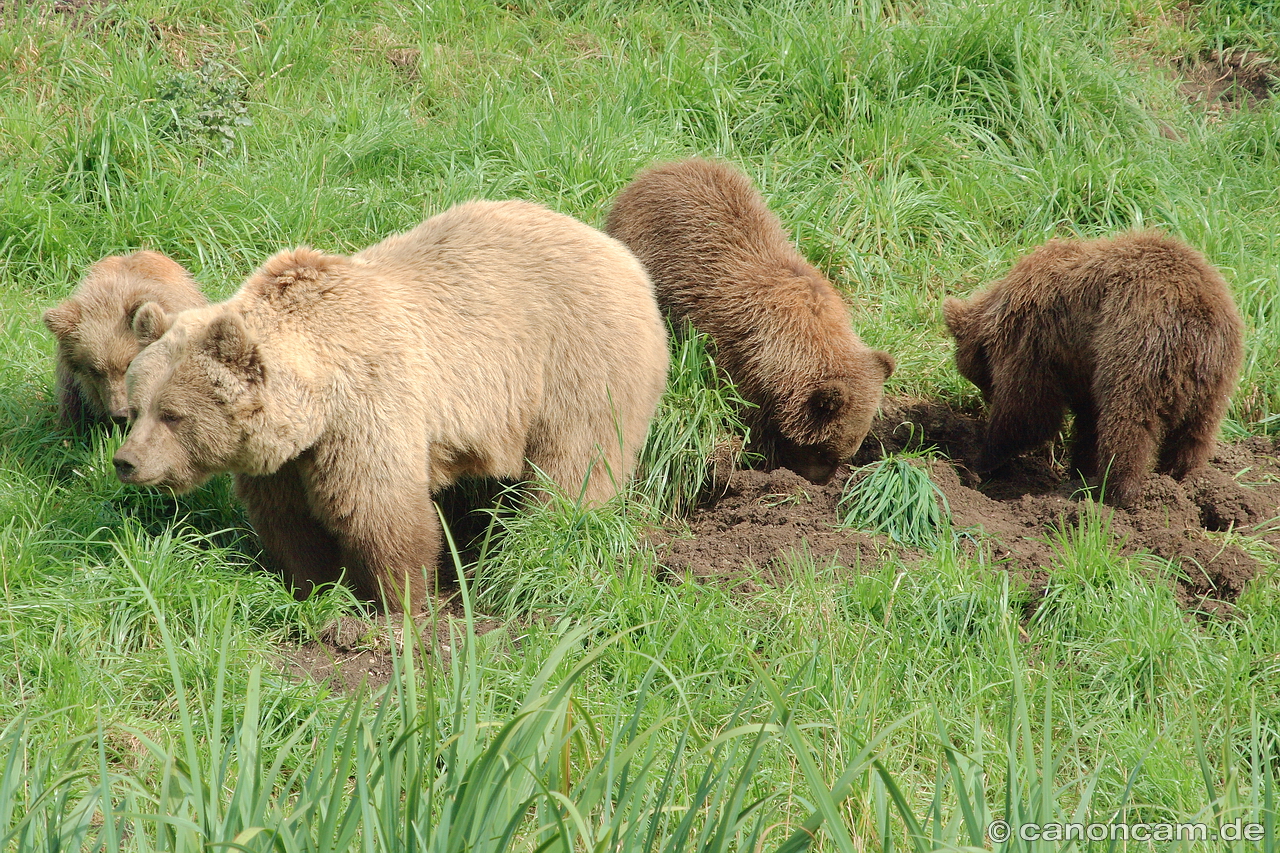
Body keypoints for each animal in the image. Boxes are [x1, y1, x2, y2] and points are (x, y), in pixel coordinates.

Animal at [111, 197, 670, 612]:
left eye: (173, 414)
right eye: (137, 408)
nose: (126, 461)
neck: (316, 400)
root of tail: (622, 255)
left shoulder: (370, 405)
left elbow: (379, 509)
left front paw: (397, 598)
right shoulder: (286, 457)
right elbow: (288, 521)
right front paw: (312, 584)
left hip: (578, 362)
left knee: (575, 465)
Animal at [942, 229, 1239, 504]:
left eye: (980, 379)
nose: (986, 397)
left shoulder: (1036, 340)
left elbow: (1027, 412)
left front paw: (980, 463)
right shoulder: (1082, 363)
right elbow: (1087, 423)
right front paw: (1080, 470)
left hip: (1137, 347)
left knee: (1127, 423)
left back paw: (1117, 491)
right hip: (1215, 381)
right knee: (1194, 435)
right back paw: (1183, 480)